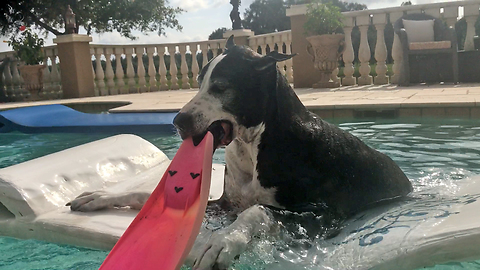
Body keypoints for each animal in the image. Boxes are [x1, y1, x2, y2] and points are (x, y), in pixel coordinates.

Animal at [67, 36, 412, 270]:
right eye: (198, 81)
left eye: (221, 87)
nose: (178, 122)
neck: (253, 144)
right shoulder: (225, 204)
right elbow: (145, 193)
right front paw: (100, 196)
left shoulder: (324, 215)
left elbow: (258, 211)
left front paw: (223, 242)